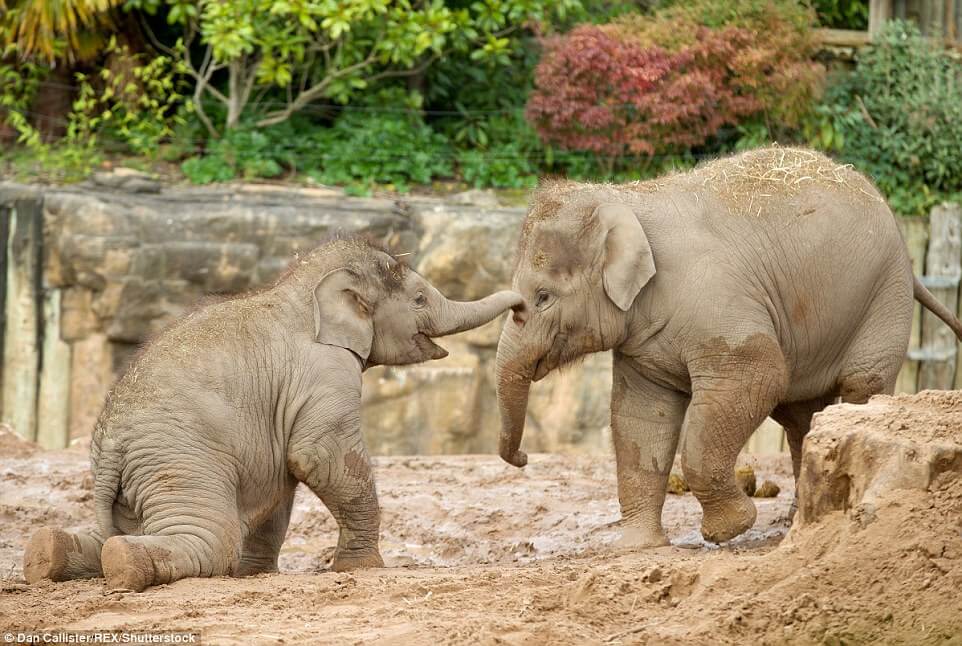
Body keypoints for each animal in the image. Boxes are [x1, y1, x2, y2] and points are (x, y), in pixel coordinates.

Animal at [22, 238, 520, 592]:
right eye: (418, 299)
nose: (522, 304)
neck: (299, 287)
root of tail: (110, 446)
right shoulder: (324, 371)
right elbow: (317, 456)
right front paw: (365, 569)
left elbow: (280, 483)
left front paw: (255, 576)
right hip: (179, 463)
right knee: (209, 537)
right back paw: (123, 564)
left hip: (135, 481)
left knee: (109, 534)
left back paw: (49, 553)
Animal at [496, 149, 960, 548]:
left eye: (543, 297)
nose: (522, 457)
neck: (628, 197)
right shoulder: (641, 340)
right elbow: (639, 417)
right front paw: (637, 546)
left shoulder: (722, 308)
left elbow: (759, 376)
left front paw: (728, 530)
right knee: (800, 415)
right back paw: (798, 520)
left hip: (883, 295)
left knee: (860, 386)